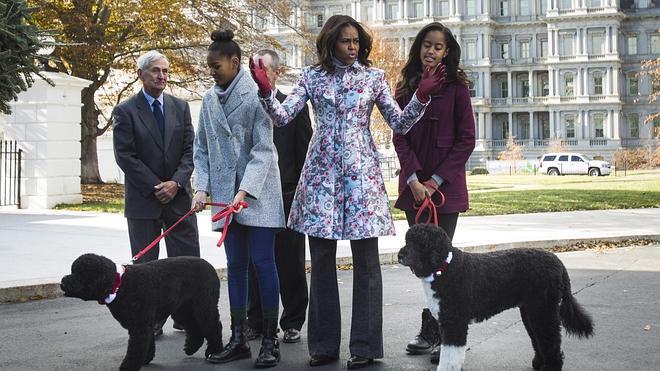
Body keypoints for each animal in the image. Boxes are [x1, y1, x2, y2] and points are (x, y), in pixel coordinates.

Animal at [60, 254, 223, 371]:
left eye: (80, 274)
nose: (62, 281)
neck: (119, 286)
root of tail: (211, 267)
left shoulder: (140, 325)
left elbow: (135, 349)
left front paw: (128, 366)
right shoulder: (143, 324)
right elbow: (146, 344)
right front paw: (145, 360)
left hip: (204, 305)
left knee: (213, 326)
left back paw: (214, 351)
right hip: (182, 309)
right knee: (194, 328)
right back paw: (191, 348)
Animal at [400, 224, 596, 371]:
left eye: (420, 243)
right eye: (407, 240)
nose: (400, 255)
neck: (445, 268)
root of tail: (558, 263)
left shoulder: (455, 323)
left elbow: (451, 356)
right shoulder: (447, 322)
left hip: (543, 310)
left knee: (551, 343)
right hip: (530, 311)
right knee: (538, 339)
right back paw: (538, 364)